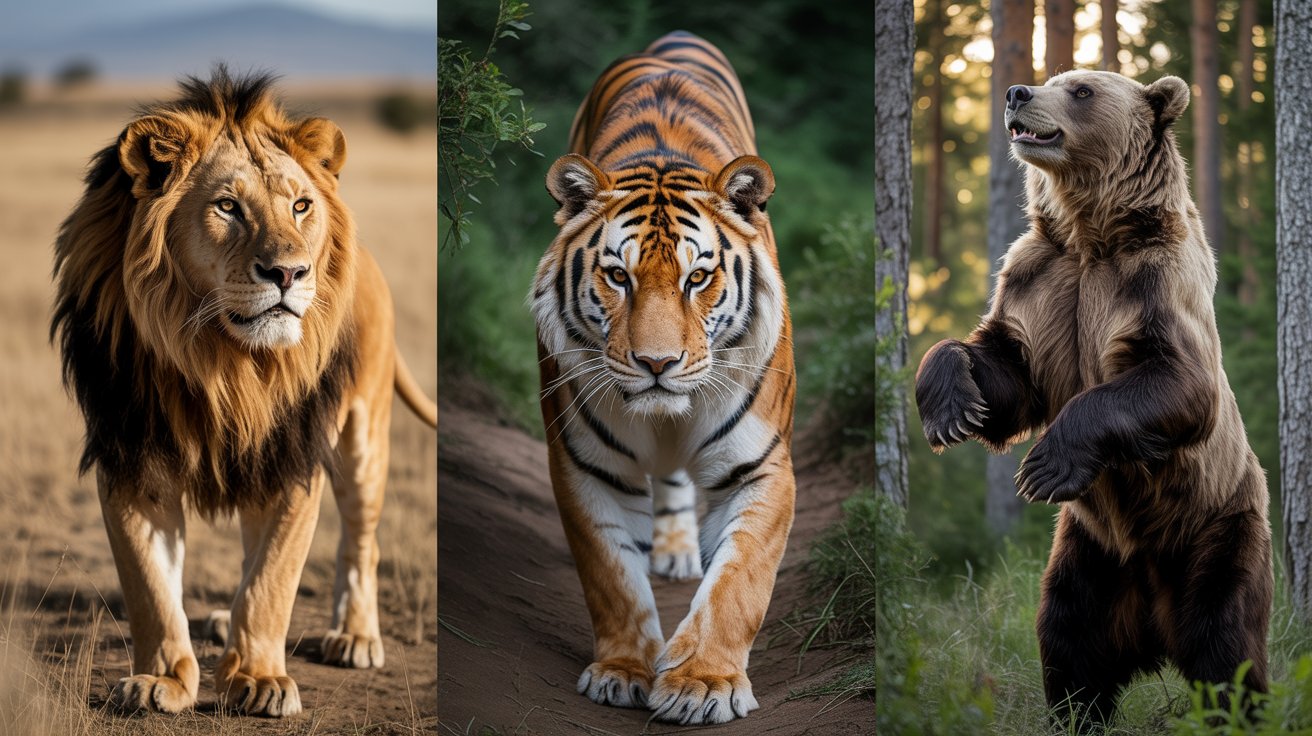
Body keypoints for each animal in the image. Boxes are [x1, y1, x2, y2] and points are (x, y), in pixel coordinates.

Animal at [49, 68, 436, 717]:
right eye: (227, 207)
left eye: (301, 206)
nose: (289, 273)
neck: (227, 365)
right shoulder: (130, 454)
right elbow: (149, 584)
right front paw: (161, 680)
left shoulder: (292, 457)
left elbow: (272, 580)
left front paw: (258, 679)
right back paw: (213, 622)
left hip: (365, 439)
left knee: (361, 542)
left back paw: (354, 637)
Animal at [530, 31, 796, 725]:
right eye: (617, 277)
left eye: (697, 277)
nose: (657, 364)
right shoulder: (584, 467)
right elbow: (613, 578)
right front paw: (623, 670)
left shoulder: (761, 467)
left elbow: (738, 583)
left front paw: (703, 683)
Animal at [914, 70, 1272, 728]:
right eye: (1052, 80)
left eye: (1081, 90)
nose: (1017, 93)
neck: (1090, 235)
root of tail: (1155, 620)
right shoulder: (1039, 279)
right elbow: (1006, 370)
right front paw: (951, 408)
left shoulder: (1153, 284)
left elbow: (1177, 381)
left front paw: (1043, 465)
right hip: (1089, 554)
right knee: (1068, 636)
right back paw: (1074, 715)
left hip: (1218, 528)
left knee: (1226, 644)